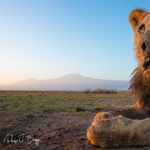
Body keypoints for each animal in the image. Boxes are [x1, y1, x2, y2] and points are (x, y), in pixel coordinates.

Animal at [86, 8, 150, 148]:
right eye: (142, 28)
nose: (147, 45)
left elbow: (143, 127)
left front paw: (107, 129)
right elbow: (112, 112)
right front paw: (105, 116)